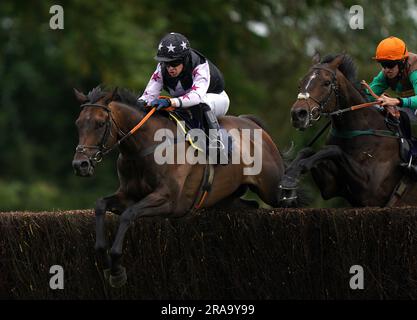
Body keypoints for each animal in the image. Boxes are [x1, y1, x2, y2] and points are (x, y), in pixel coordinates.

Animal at [72, 85, 286, 288]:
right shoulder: (127, 196)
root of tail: (252, 124)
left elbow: (128, 215)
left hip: (273, 191)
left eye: (100, 123)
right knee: (252, 206)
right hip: (228, 200)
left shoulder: (169, 201)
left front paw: (117, 268)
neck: (144, 147)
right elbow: (101, 205)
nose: (80, 165)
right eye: (78, 123)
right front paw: (105, 260)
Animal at [280, 53, 416, 206]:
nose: (298, 114)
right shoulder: (331, 187)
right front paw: (290, 176)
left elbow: (333, 149)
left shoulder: (372, 191)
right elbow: (308, 151)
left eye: (327, 83)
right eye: (300, 83)